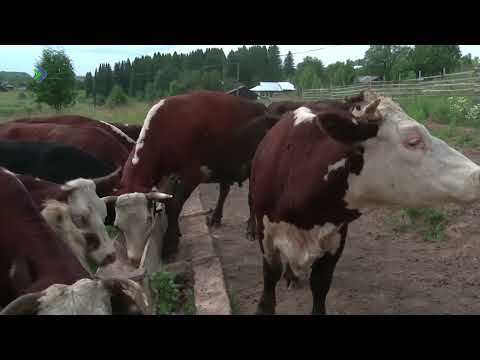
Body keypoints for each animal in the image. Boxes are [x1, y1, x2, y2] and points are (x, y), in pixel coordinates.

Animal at [249, 90, 480, 316]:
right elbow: (270, 279)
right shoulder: (266, 235)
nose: (477, 175)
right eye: (413, 141)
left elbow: (320, 283)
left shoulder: (337, 237)